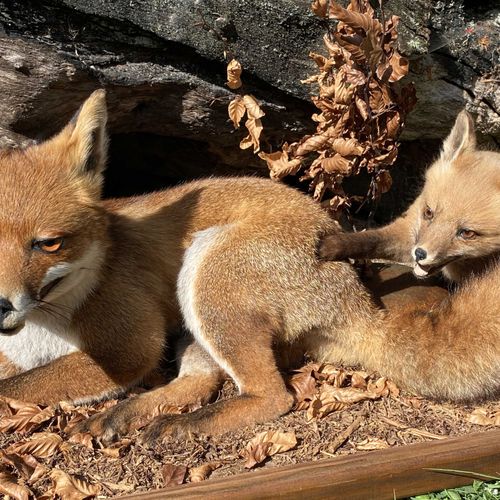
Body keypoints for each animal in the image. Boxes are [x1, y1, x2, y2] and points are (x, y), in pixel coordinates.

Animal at [320, 110, 500, 282]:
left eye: (467, 233)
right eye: (428, 213)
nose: (420, 254)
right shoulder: (410, 231)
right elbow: (368, 240)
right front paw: (329, 245)